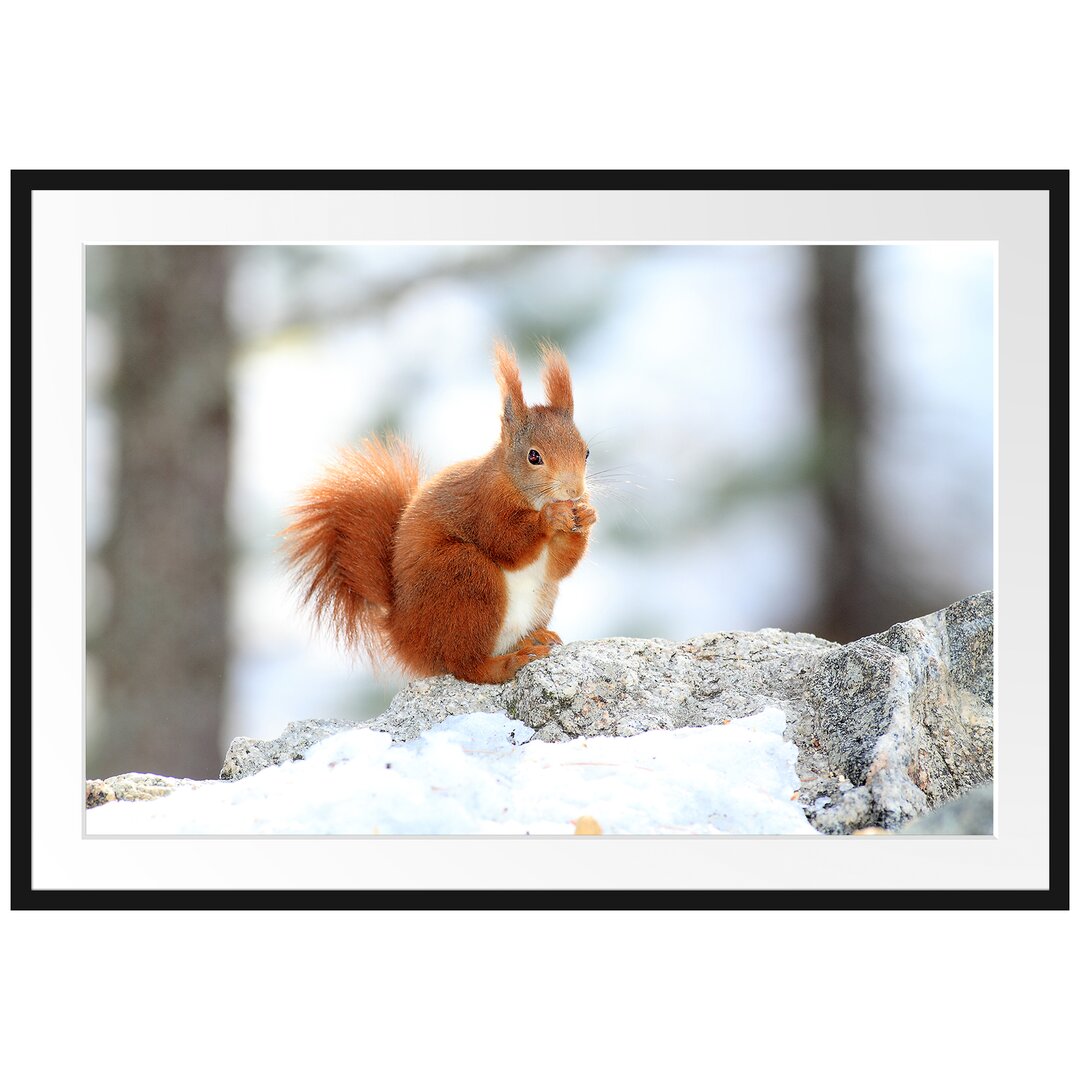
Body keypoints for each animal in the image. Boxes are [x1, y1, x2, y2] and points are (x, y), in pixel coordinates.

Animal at [282, 341, 596, 686]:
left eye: (586, 451)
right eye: (534, 456)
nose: (574, 491)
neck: (520, 489)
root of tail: (403, 634)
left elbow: (558, 566)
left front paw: (587, 515)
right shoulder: (484, 505)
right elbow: (506, 543)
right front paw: (551, 517)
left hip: (538, 597)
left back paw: (533, 638)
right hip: (464, 577)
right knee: (466, 665)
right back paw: (508, 663)